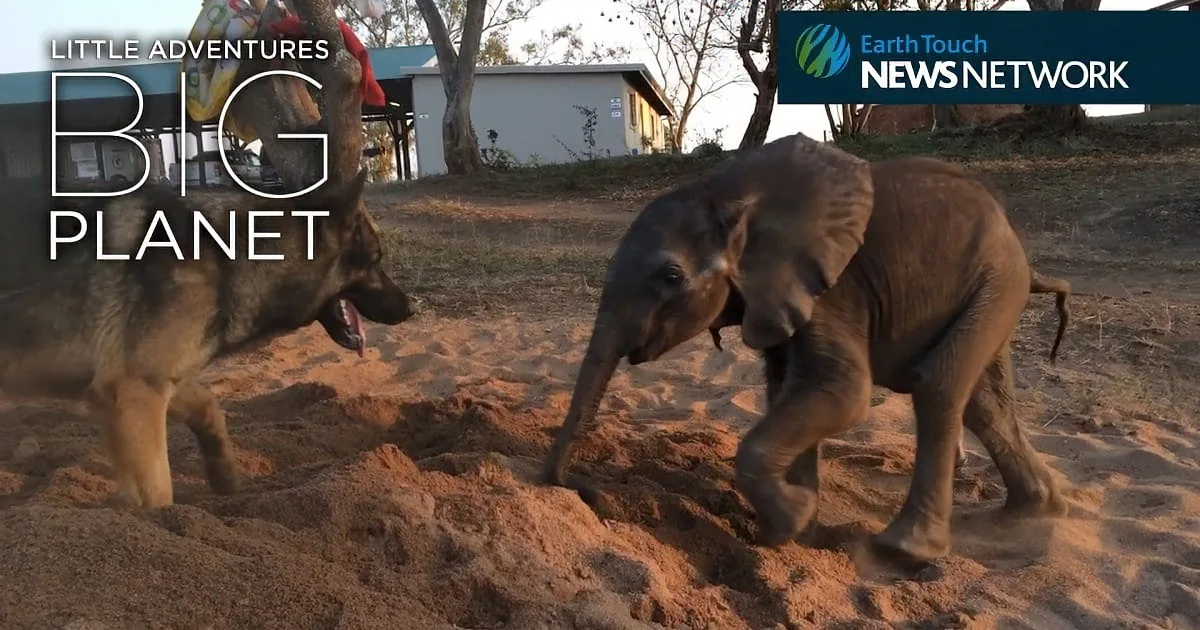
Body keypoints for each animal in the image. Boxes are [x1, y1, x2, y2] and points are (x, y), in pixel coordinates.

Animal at [541, 132, 1072, 564]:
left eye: (670, 276)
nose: (585, 491)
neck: (728, 195)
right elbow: (788, 390)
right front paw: (800, 532)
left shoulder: (834, 288)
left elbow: (842, 392)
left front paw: (791, 520)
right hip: (992, 287)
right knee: (984, 402)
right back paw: (1032, 512)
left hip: (997, 280)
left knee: (939, 385)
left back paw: (904, 550)